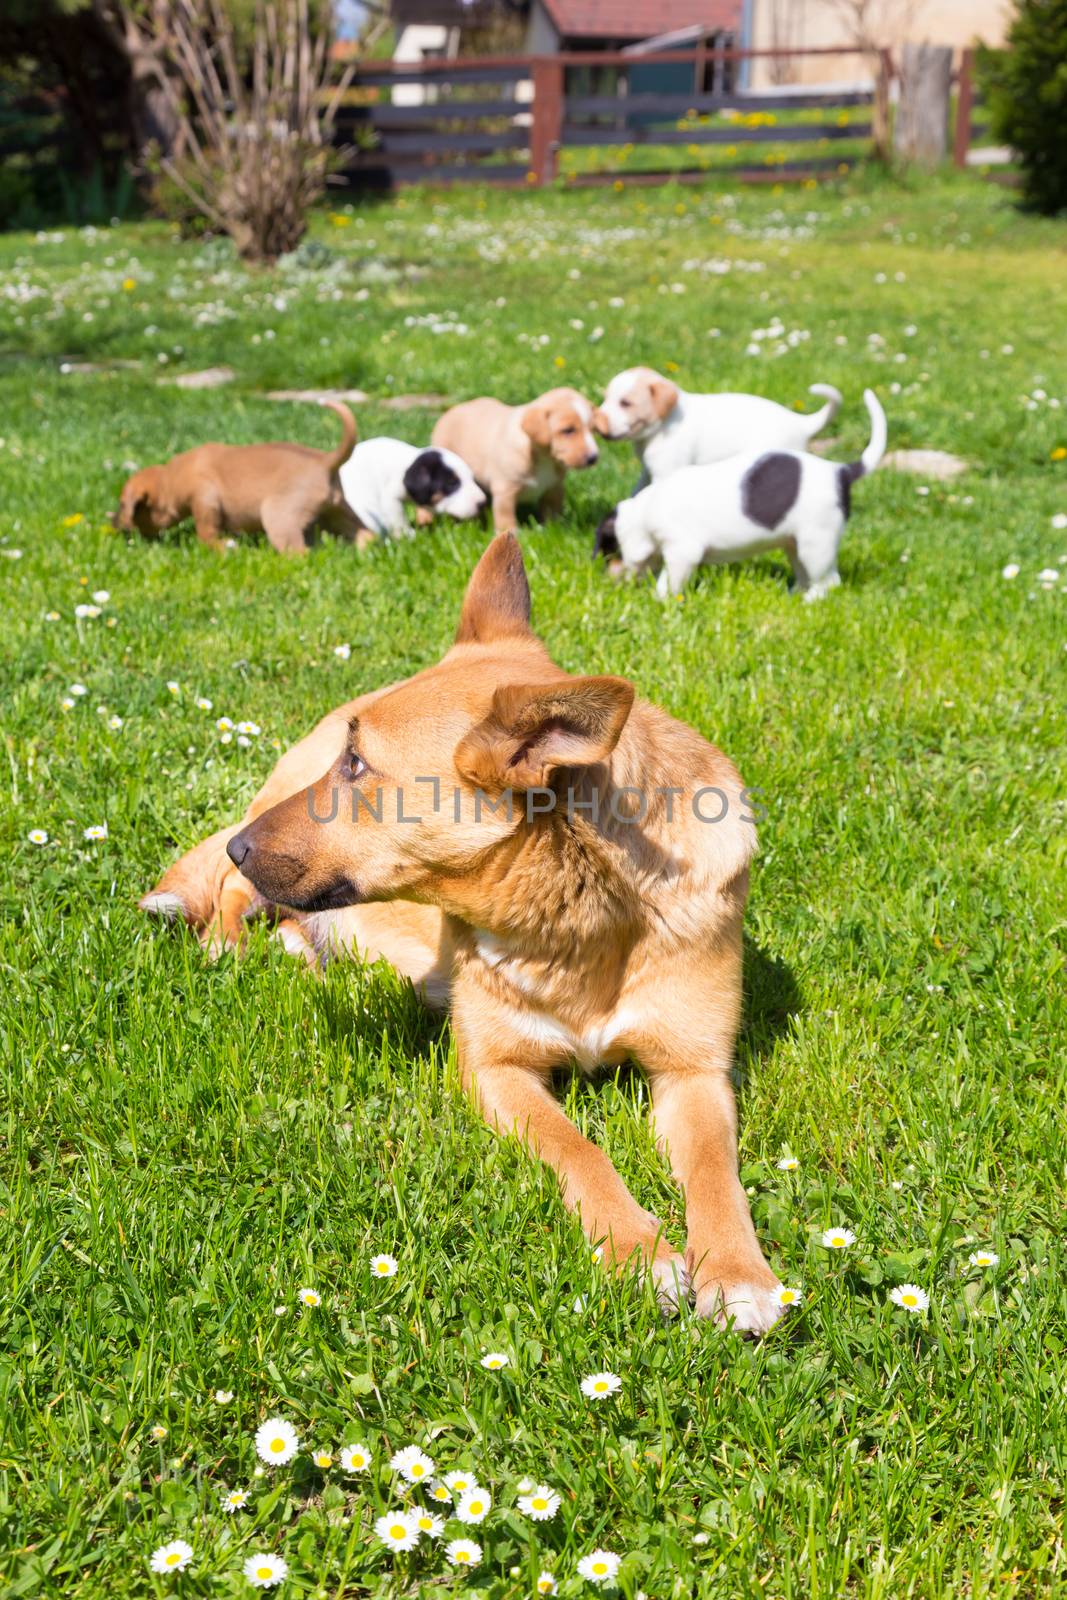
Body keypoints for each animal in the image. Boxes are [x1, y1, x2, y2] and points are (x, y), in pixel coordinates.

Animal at [115, 396, 361, 553]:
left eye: (122, 504)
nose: (113, 522)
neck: (172, 477)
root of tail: (325, 461)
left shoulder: (204, 500)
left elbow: (206, 533)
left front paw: (221, 546)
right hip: (338, 511)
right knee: (362, 534)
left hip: (280, 518)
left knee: (299, 552)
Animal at [143, 537, 783, 1337]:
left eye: (359, 766)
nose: (240, 848)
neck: (577, 915)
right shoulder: (495, 1070)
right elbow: (579, 1150)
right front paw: (638, 1248)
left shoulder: (694, 1070)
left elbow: (715, 1172)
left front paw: (736, 1271)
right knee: (237, 896)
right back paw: (229, 945)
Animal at [431, 387, 601, 537]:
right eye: (568, 430)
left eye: (592, 429)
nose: (593, 458)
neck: (543, 458)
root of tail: (453, 409)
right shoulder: (505, 491)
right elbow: (506, 518)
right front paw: (512, 534)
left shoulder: (554, 488)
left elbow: (551, 512)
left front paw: (553, 528)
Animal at [591, 366, 844, 486]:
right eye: (605, 399)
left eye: (625, 403)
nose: (599, 427)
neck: (662, 425)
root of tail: (800, 423)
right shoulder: (648, 471)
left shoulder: (666, 472)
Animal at [598, 387, 889, 601]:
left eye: (609, 552)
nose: (610, 583)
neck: (645, 510)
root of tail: (841, 471)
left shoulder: (682, 551)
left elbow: (669, 582)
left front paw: (661, 600)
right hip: (794, 544)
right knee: (804, 574)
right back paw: (794, 594)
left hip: (816, 544)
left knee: (829, 581)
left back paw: (809, 600)